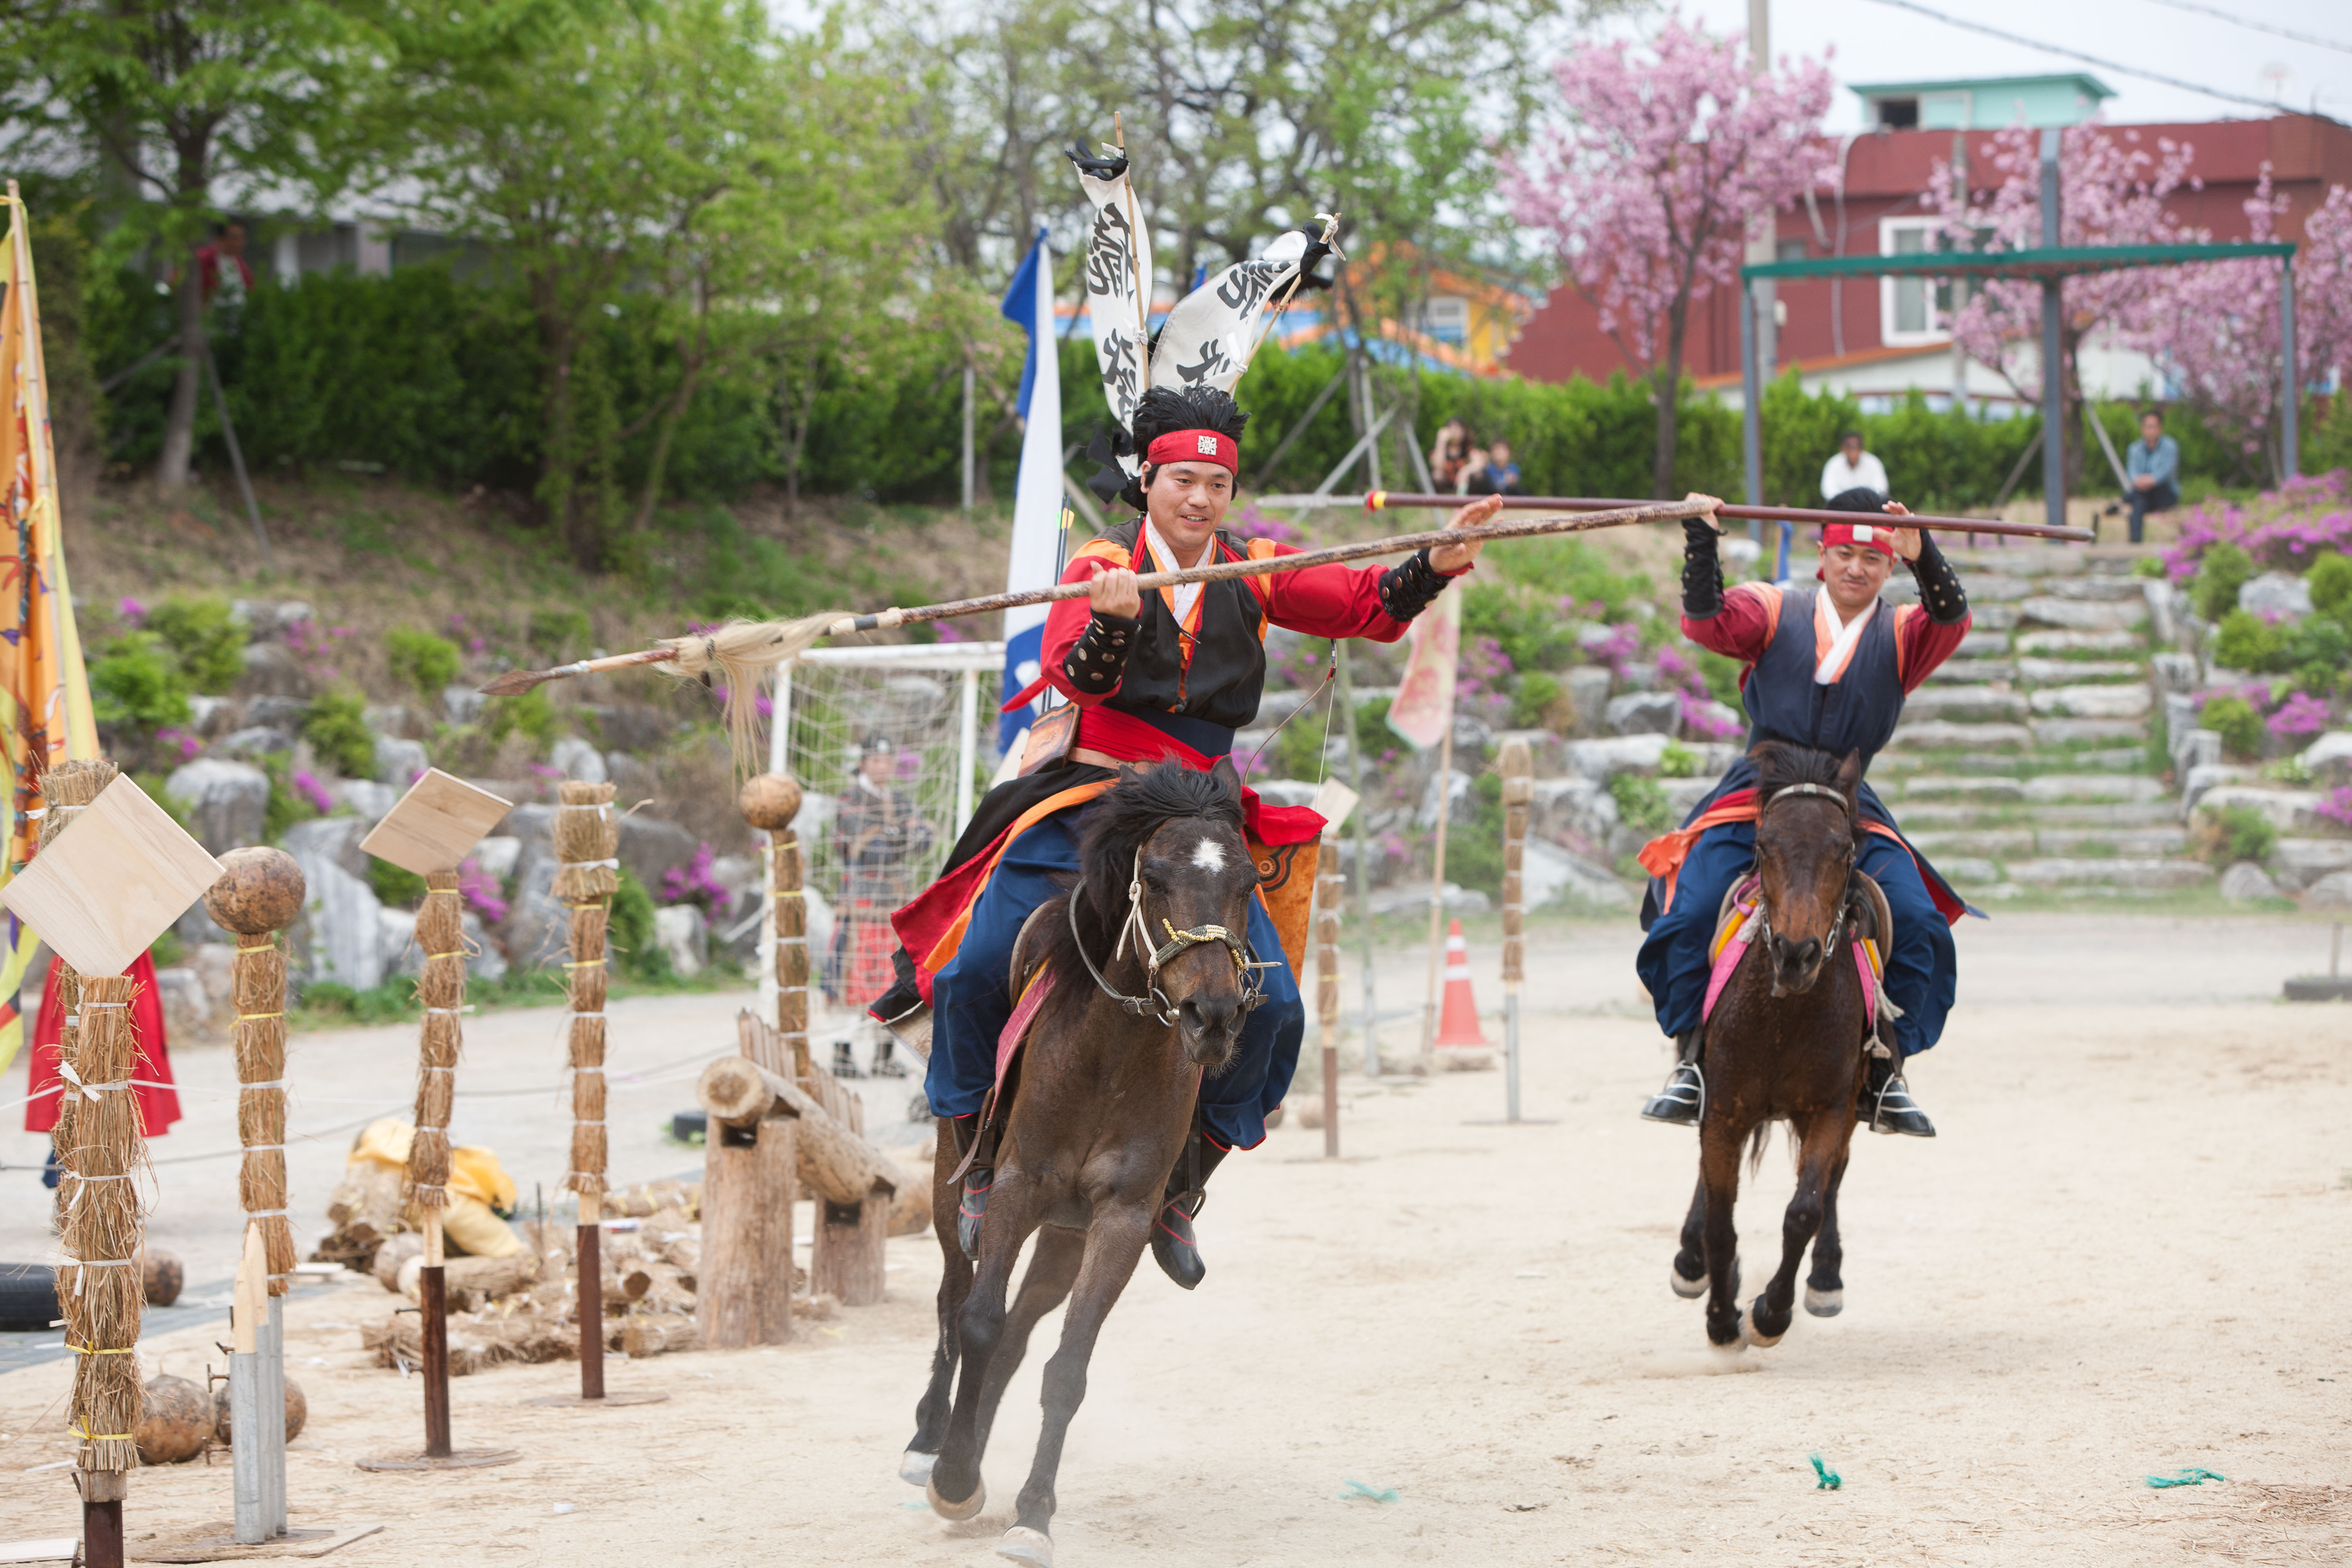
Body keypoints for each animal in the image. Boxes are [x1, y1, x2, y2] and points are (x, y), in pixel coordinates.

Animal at [898, 757, 1270, 1561]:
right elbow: (976, 1321)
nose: (1213, 1016)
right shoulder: (1018, 1184)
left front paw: (1033, 1513)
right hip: (954, 1186)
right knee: (953, 1298)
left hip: (1065, 1235)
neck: (1111, 1054)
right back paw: (930, 1442)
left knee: (1017, 1332)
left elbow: (1065, 1365)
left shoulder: (1120, 1218)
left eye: (1249, 882)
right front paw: (953, 1475)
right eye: (1154, 877)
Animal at [1665, 747, 1881, 1354]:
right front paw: (1721, 1317)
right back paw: (1691, 1261)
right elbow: (1721, 1220)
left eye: (1844, 849)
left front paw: (1770, 1314)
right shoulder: (1724, 1109)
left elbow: (1804, 1210)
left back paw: (1825, 1277)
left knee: (1833, 1182)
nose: (1796, 953)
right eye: (1764, 845)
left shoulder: (1830, 1111)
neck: (1786, 1020)